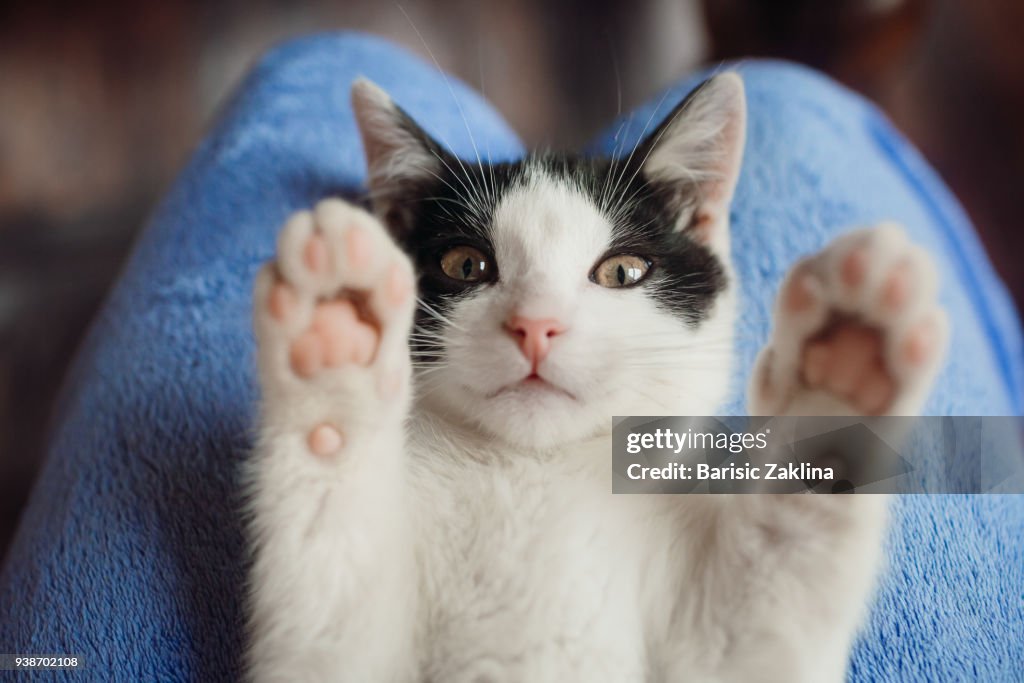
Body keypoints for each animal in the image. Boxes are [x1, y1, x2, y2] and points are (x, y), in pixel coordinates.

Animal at [243, 72, 946, 679]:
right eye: (466, 265)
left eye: (622, 272)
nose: (536, 325)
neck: (532, 471)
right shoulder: (345, 652)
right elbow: (329, 627)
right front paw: (334, 340)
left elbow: (758, 634)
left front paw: (845, 361)